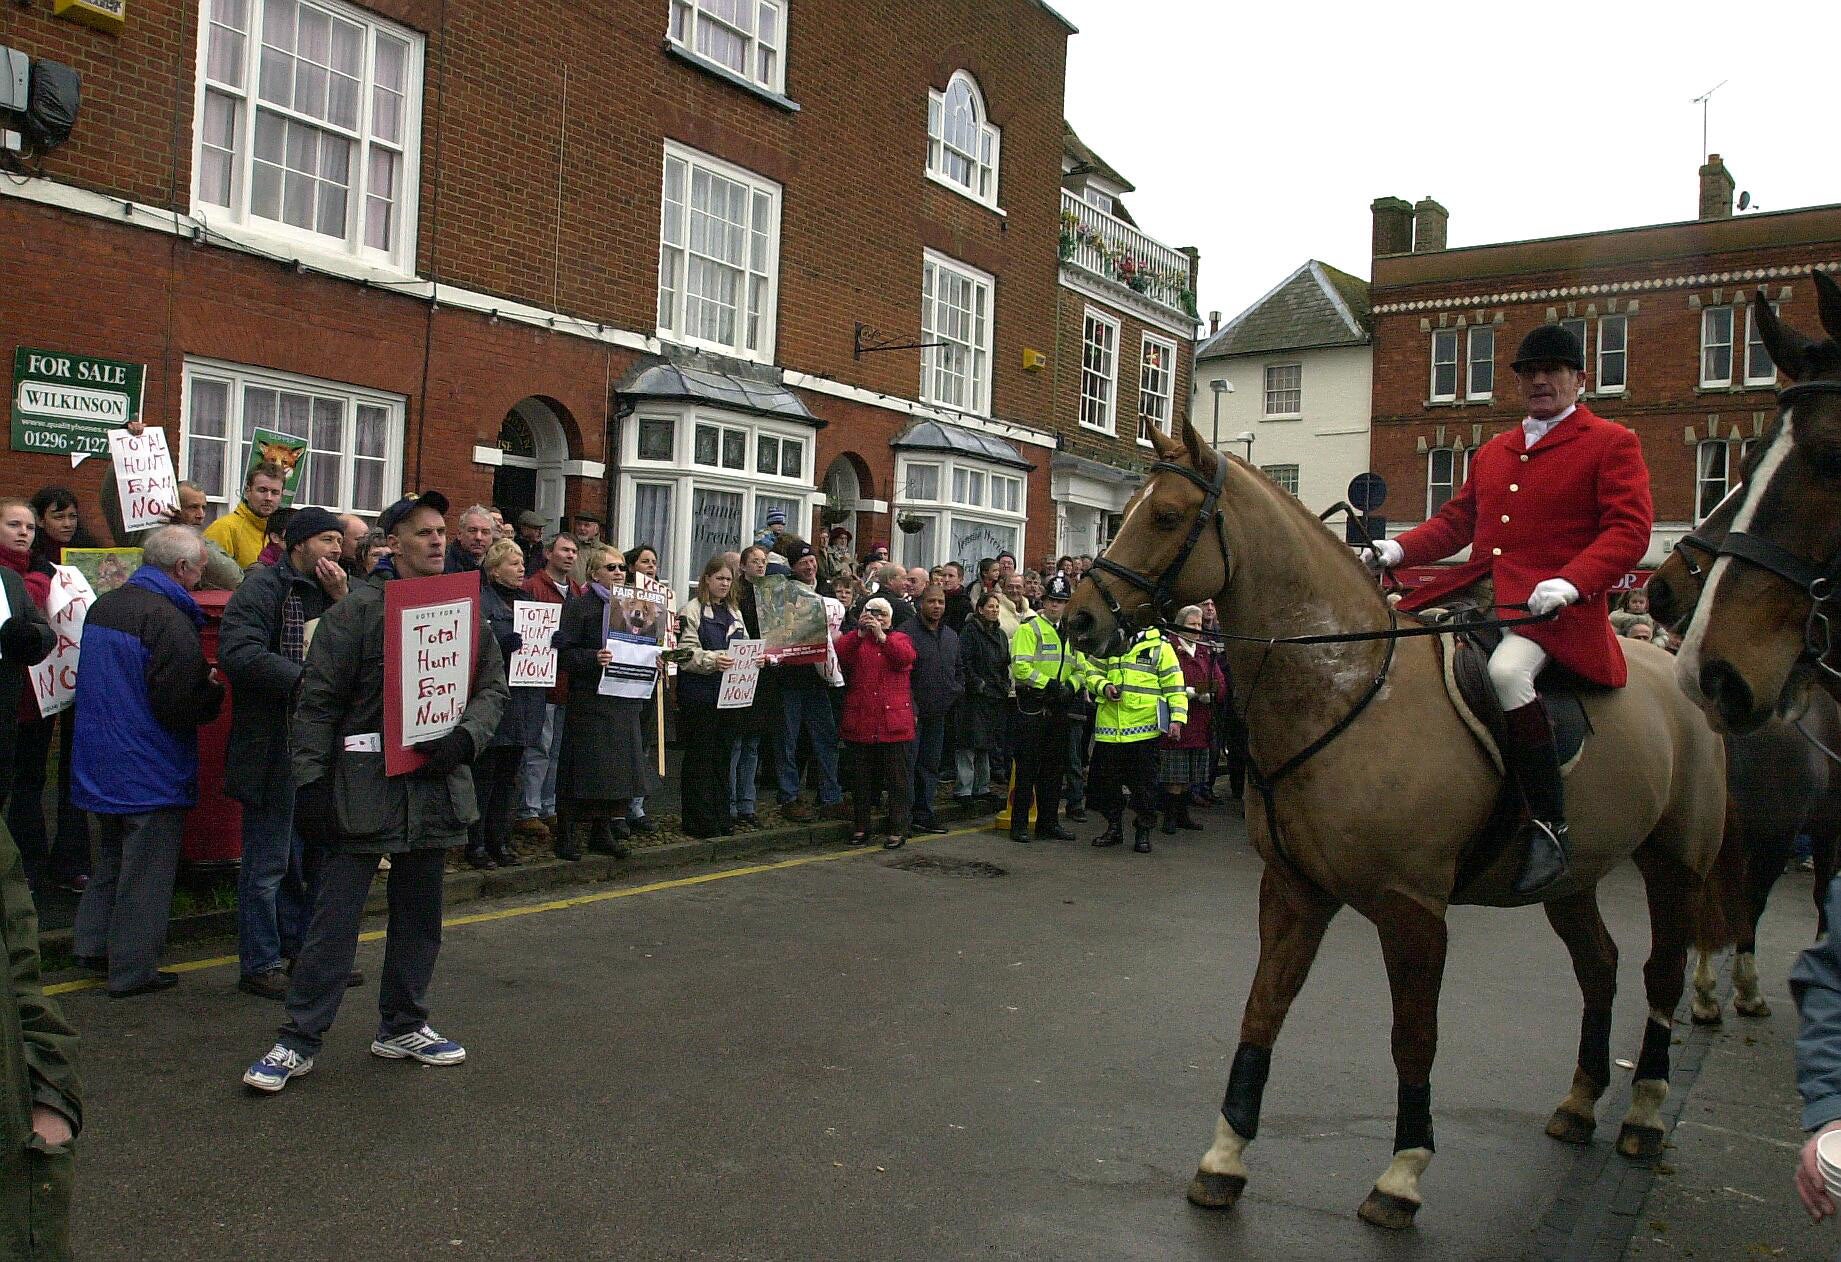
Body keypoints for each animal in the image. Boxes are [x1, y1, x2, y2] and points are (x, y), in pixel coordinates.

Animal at [1060, 418, 1730, 1223]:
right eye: (1124, 512)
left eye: (1162, 516)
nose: (1078, 619)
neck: (1343, 688)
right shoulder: (1292, 888)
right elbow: (1262, 1010)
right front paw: (1224, 1156)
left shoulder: (1412, 910)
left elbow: (1413, 1037)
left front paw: (1402, 1173)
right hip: (1574, 878)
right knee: (1598, 965)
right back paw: (1579, 1104)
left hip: (1676, 865)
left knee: (1662, 972)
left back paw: (1645, 1112)